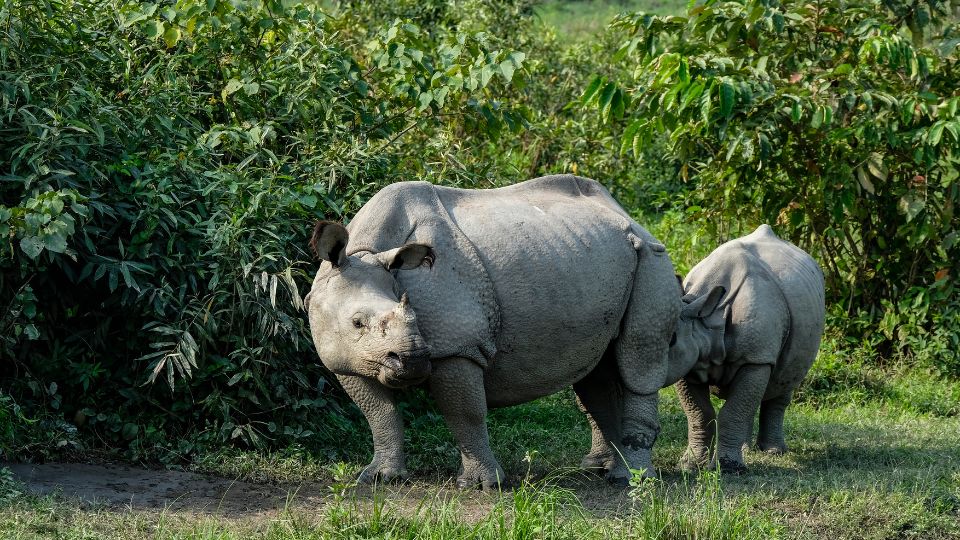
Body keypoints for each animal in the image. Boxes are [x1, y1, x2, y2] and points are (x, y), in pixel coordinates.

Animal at [304, 175, 680, 488]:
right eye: (357, 323)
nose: (414, 360)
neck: (366, 251)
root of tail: (631, 217)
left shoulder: (457, 345)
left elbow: (465, 412)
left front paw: (483, 486)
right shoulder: (347, 359)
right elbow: (379, 414)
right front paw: (380, 478)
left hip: (653, 259)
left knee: (638, 363)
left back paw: (631, 481)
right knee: (596, 372)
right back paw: (600, 469)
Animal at [668, 224, 824, 472]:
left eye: (672, 339)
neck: (708, 319)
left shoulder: (757, 357)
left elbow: (732, 411)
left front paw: (728, 469)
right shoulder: (689, 362)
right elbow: (699, 413)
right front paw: (690, 466)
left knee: (784, 380)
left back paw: (773, 451)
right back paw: (746, 449)